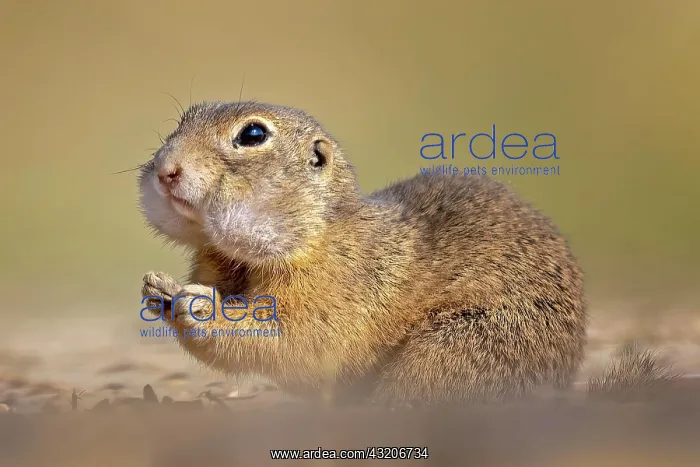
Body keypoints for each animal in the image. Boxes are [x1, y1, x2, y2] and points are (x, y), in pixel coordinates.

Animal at [138, 100, 587, 405]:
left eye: (252, 135)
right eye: (183, 120)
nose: (165, 170)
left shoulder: (332, 289)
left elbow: (293, 341)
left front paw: (199, 307)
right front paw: (157, 290)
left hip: (454, 349)